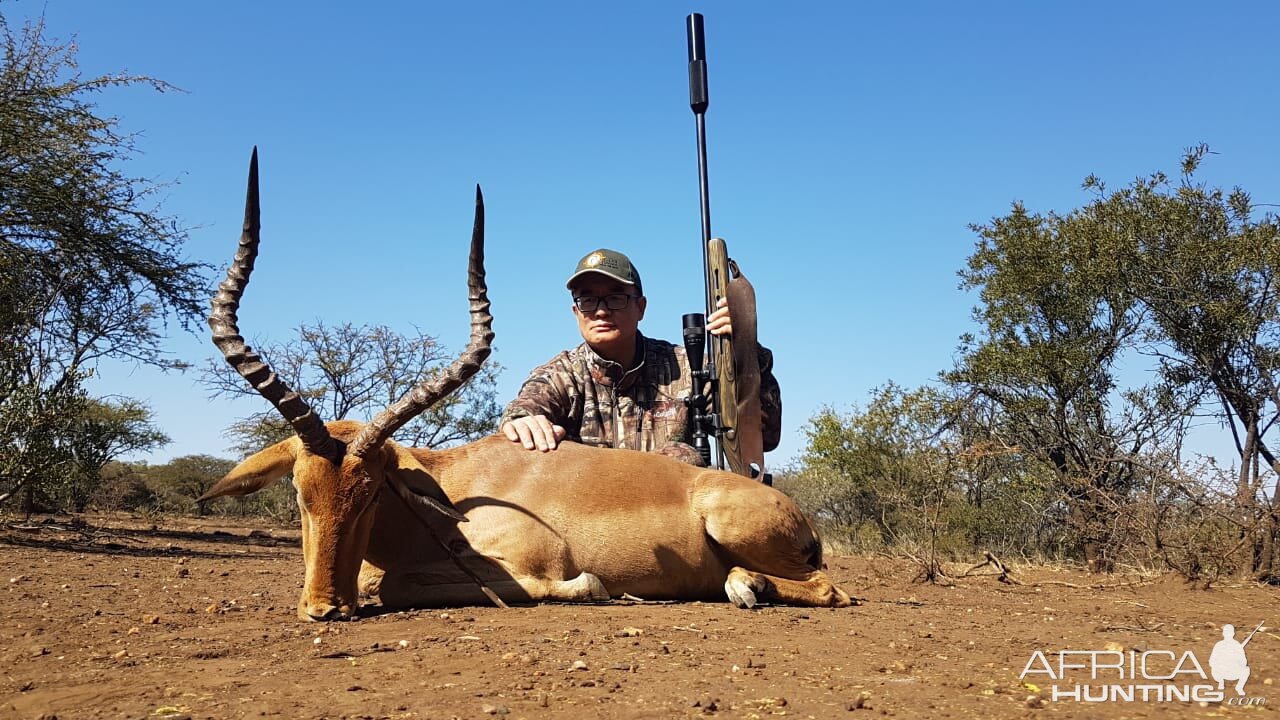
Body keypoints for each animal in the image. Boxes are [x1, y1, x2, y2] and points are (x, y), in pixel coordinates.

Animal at [199, 149, 849, 617]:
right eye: (300, 493)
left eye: (372, 492)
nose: (323, 608)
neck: (448, 489)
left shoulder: (528, 562)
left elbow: (400, 586)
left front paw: (596, 587)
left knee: (828, 588)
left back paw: (746, 586)